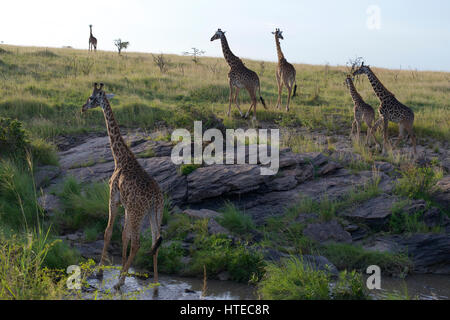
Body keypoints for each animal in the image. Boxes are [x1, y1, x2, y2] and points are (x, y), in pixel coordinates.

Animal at [82, 83, 163, 290]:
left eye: (91, 97)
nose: (83, 108)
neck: (120, 158)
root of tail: (155, 196)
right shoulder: (126, 206)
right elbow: (124, 236)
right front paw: (120, 272)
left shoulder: (114, 199)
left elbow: (109, 232)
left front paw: (101, 272)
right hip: (154, 213)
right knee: (155, 240)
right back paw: (155, 283)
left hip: (138, 212)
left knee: (138, 243)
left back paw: (119, 283)